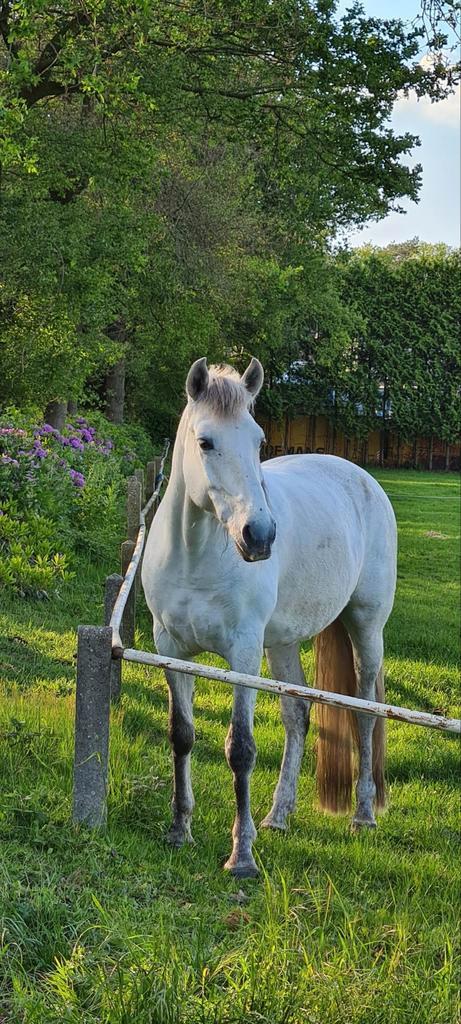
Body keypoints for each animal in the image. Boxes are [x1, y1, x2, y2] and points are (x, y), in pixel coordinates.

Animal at [142, 357, 397, 878]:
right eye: (206, 442)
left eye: (259, 441)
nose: (258, 535)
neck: (195, 557)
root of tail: (362, 478)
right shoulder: (170, 651)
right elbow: (182, 736)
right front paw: (179, 829)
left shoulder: (242, 655)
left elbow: (240, 749)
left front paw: (241, 856)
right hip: (281, 644)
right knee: (298, 716)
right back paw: (278, 814)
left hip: (366, 630)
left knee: (363, 713)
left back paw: (362, 814)